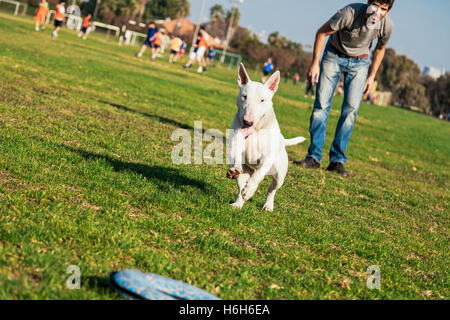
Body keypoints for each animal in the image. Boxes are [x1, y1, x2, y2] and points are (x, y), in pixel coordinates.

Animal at [229, 63, 306, 211]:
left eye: (262, 100)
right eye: (244, 96)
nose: (247, 122)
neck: (256, 130)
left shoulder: (267, 158)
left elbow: (259, 175)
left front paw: (250, 191)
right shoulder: (236, 142)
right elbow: (236, 153)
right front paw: (235, 169)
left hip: (279, 175)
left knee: (272, 189)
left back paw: (268, 205)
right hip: (246, 172)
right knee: (241, 185)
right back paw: (238, 202)